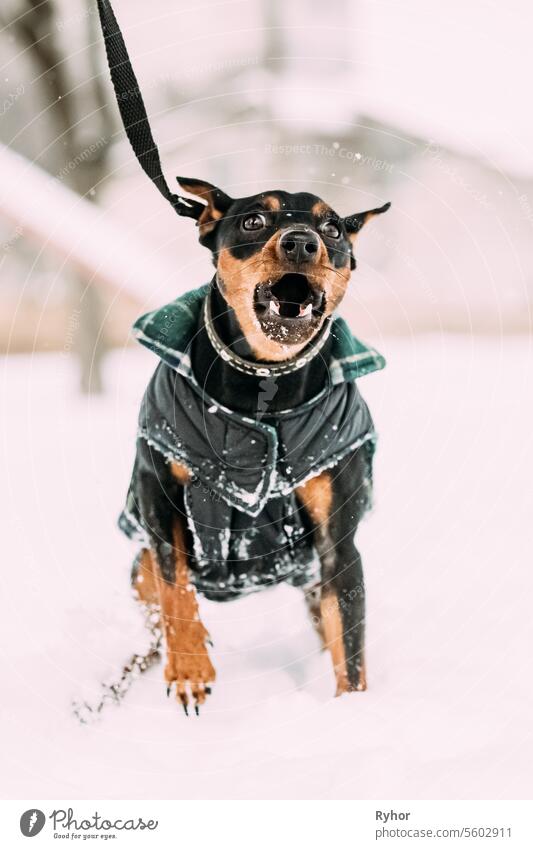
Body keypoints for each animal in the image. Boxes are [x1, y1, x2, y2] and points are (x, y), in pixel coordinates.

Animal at [94, 0, 386, 716]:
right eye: (254, 221)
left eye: (333, 226)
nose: (305, 241)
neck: (263, 385)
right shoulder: (158, 493)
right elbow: (175, 587)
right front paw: (190, 668)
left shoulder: (338, 538)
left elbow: (351, 647)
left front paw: (355, 719)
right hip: (136, 560)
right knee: (155, 601)